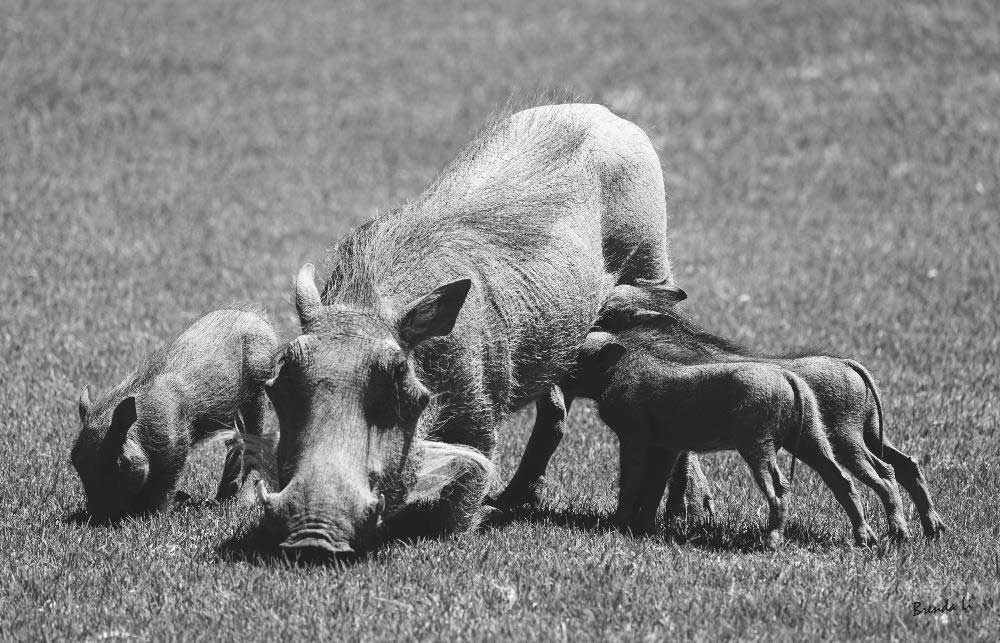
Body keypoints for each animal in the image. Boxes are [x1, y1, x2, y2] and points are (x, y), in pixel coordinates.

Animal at [72, 308, 278, 521]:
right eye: (75, 459)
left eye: (120, 462)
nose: (95, 519)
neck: (141, 426)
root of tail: (259, 318)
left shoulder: (175, 448)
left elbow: (163, 489)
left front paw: (153, 516)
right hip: (229, 411)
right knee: (237, 443)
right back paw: (220, 499)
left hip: (258, 392)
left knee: (254, 443)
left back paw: (243, 500)